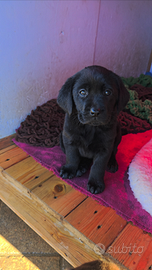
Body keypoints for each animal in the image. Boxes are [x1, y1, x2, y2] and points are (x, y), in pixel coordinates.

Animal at [57, 66, 129, 195]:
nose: (95, 111)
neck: (90, 128)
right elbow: (72, 157)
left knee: (114, 151)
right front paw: (69, 169)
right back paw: (81, 167)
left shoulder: (105, 149)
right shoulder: (69, 141)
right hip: (61, 137)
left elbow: (98, 167)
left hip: (118, 134)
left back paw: (111, 162)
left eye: (107, 92)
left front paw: (95, 183)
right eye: (82, 92)